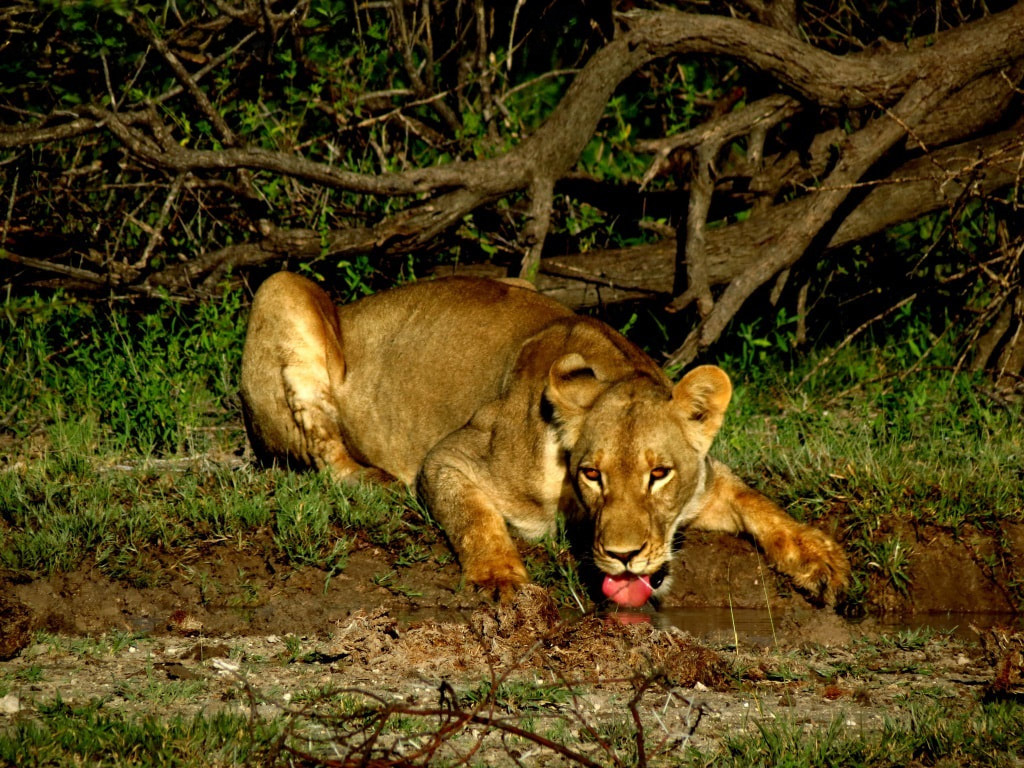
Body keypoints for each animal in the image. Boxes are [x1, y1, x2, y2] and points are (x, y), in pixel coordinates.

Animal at [240, 272, 849, 606]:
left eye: (659, 474)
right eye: (592, 474)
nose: (624, 557)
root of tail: (354, 305)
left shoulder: (704, 484)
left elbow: (757, 500)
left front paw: (819, 558)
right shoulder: (449, 457)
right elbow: (476, 520)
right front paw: (502, 580)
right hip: (281, 289)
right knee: (324, 451)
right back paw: (375, 480)